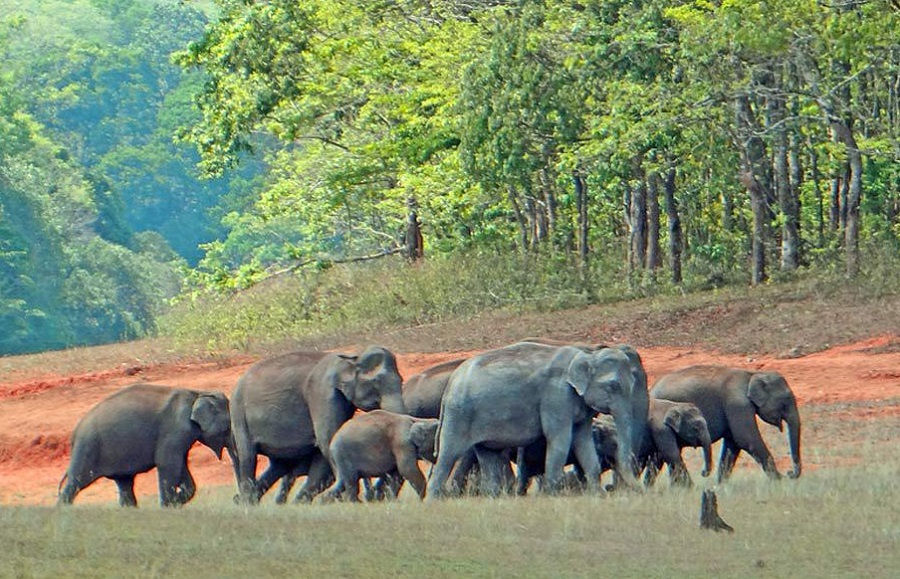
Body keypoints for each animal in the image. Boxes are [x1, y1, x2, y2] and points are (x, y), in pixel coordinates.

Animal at [57, 386, 230, 508]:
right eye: (228, 427)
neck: (197, 393)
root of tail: (74, 434)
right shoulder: (175, 430)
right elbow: (167, 464)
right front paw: (169, 505)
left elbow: (181, 465)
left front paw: (177, 500)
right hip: (87, 448)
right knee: (76, 482)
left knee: (125, 483)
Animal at [230, 346, 406, 506]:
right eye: (376, 382)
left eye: (401, 380)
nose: (375, 496)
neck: (351, 357)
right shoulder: (321, 393)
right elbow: (328, 439)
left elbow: (323, 454)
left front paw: (302, 503)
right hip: (238, 414)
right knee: (248, 456)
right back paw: (247, 502)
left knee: (281, 464)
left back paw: (248, 500)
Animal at [428, 344, 648, 498]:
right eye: (613, 386)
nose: (610, 489)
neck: (586, 354)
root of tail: (451, 383)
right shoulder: (556, 396)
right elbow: (559, 439)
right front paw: (553, 495)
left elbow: (583, 441)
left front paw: (597, 495)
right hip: (459, 415)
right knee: (448, 455)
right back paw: (433, 501)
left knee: (487, 455)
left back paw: (494, 498)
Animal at [648, 368, 800, 480]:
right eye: (786, 400)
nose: (789, 473)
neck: (752, 375)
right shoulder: (737, 404)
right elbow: (746, 439)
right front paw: (778, 481)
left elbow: (733, 444)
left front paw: (720, 486)